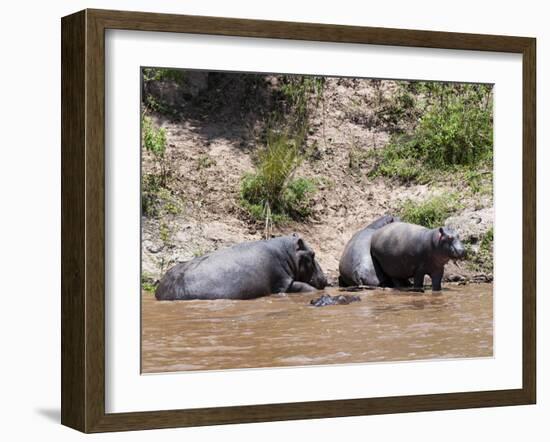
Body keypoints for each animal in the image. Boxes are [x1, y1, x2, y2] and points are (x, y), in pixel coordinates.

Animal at [154, 235, 328, 300]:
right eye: (313, 254)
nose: (325, 279)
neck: (289, 254)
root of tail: (160, 290)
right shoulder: (283, 283)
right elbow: (306, 287)